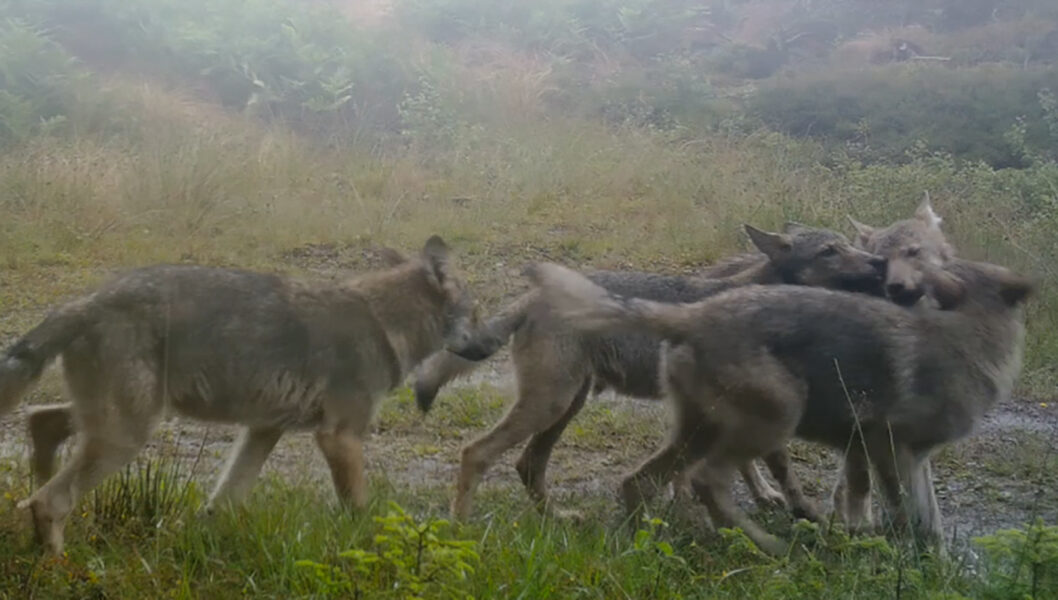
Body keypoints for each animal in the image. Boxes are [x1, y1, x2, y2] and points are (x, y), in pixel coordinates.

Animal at [0, 234, 495, 554]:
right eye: (477, 313)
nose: (494, 343)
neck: (384, 322)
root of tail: (87, 300)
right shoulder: (339, 437)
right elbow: (359, 510)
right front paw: (372, 553)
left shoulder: (263, 429)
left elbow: (225, 499)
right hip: (128, 434)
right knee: (49, 501)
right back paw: (60, 567)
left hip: (116, 420)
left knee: (40, 424)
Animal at [414, 224, 892, 520]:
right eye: (830, 251)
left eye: (849, 243)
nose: (880, 264)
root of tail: (533, 295)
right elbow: (779, 465)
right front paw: (801, 509)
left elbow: (745, 463)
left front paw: (758, 497)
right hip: (549, 404)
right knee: (476, 453)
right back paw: (461, 528)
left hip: (565, 406)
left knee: (527, 466)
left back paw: (558, 518)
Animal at [533, 256, 1028, 554]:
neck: (966, 338)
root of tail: (693, 314)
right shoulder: (889, 447)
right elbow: (906, 516)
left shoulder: (912, 457)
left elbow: (931, 522)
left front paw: (929, 564)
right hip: (775, 420)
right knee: (707, 480)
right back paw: (763, 544)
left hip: (699, 432)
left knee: (640, 481)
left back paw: (654, 538)